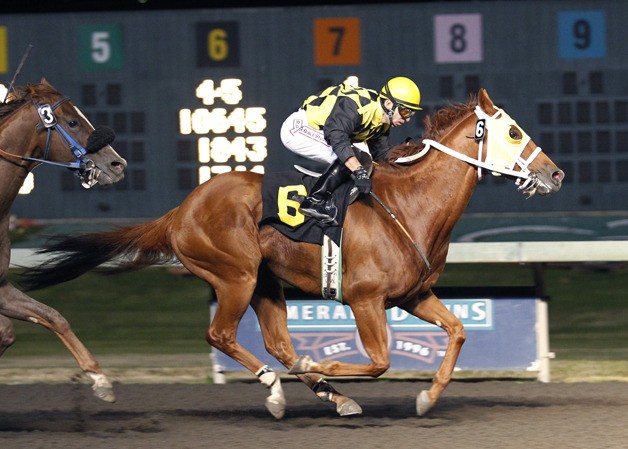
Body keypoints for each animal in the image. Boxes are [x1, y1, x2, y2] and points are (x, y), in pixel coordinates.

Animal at [20, 89, 564, 418]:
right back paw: (280, 389)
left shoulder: (412, 296)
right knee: (221, 334)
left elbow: (457, 331)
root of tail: (178, 211)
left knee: (277, 342)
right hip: (235, 275)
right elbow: (379, 361)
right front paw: (317, 364)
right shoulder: (365, 299)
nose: (556, 174)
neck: (409, 206)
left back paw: (332, 397)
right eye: (514, 132)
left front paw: (428, 398)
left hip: (264, 279)